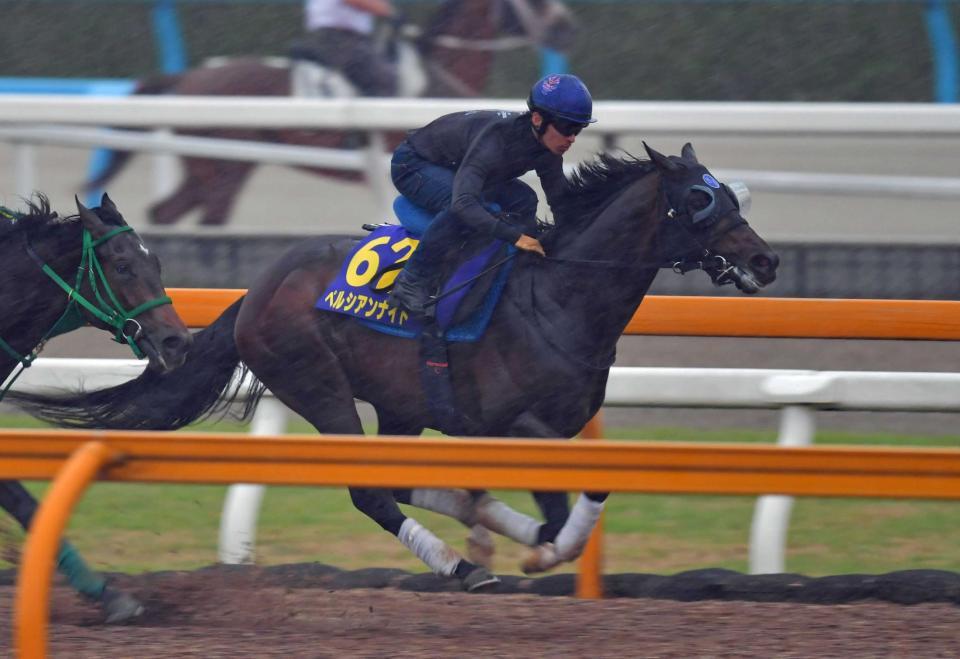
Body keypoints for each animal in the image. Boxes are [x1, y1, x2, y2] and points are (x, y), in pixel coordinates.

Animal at [13, 147, 780, 592]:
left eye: (733, 194)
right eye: (701, 199)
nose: (766, 258)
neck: (560, 294)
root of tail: (254, 293)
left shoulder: (556, 428)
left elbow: (593, 488)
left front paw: (532, 539)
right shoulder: (511, 423)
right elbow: (564, 503)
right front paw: (543, 550)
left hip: (402, 404)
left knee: (397, 477)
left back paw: (479, 534)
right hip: (320, 387)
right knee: (369, 489)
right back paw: (462, 564)